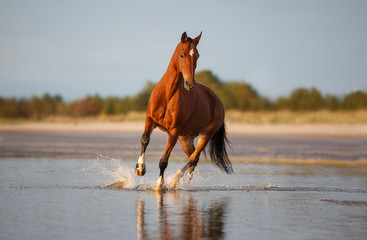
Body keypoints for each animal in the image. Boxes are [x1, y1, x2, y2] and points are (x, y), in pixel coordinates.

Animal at [135, 31, 233, 189]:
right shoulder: (150, 120)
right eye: (182, 55)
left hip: (205, 135)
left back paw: (175, 180)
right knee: (193, 158)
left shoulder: (174, 132)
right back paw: (183, 183)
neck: (167, 94)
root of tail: (218, 102)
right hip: (185, 138)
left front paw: (159, 185)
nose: (189, 83)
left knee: (194, 158)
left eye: (197, 55)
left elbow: (163, 161)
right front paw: (140, 169)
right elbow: (145, 139)